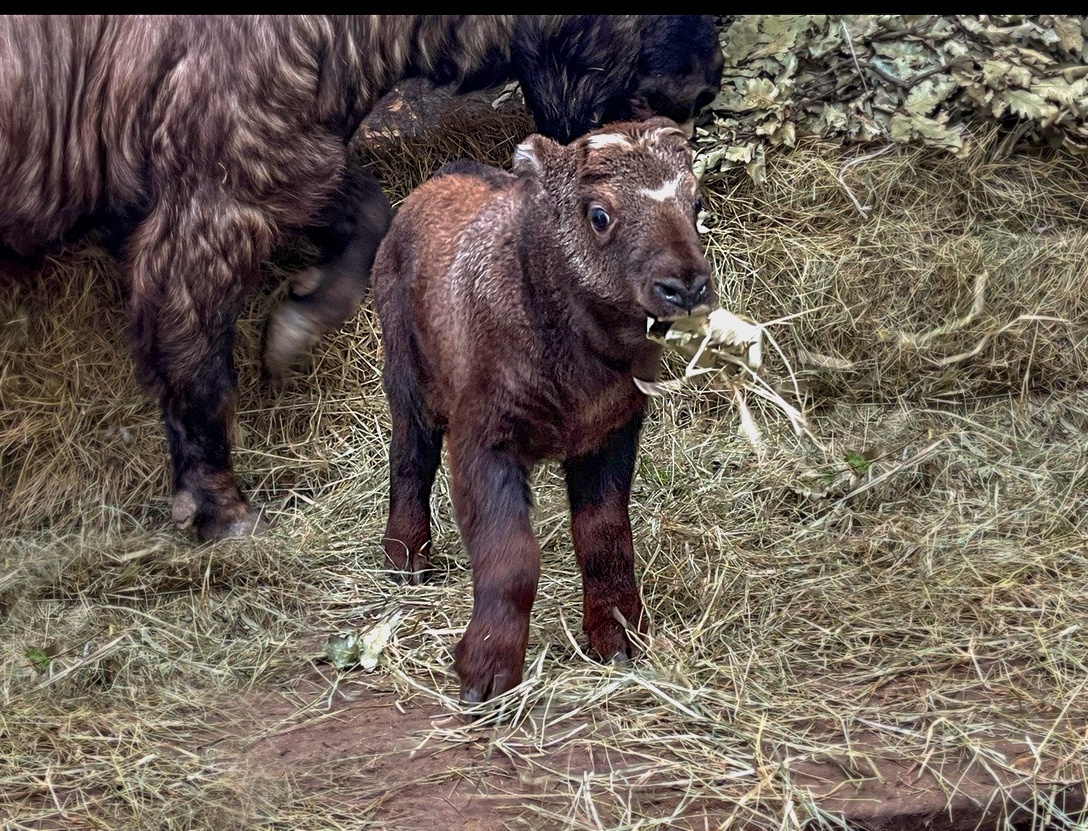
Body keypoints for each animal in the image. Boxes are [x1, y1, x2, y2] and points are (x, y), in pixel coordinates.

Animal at [374, 115, 713, 700]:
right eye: (598, 215)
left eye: (695, 203)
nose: (686, 286)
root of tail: (438, 178)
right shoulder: (483, 436)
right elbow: (510, 557)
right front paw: (486, 671)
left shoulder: (613, 430)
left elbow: (605, 537)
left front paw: (619, 638)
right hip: (406, 371)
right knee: (410, 456)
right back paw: (407, 556)